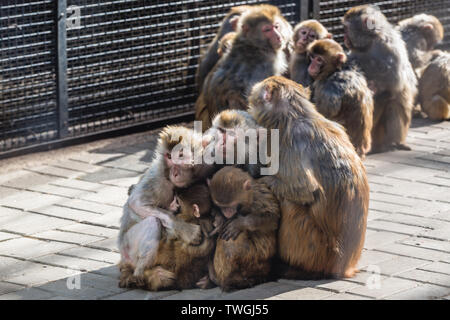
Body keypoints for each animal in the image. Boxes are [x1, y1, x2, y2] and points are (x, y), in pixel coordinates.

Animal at [118, 124, 216, 284]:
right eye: (169, 157)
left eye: (180, 155)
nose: (174, 173)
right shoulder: (159, 179)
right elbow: (136, 203)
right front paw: (185, 230)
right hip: (129, 248)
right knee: (152, 222)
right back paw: (143, 274)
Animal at [246, 76, 370, 278]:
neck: (295, 115)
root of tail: (345, 266)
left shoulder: (287, 143)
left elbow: (306, 189)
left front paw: (258, 179)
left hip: (316, 248)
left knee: (290, 205)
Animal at [344, 5, 418, 153]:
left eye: (347, 29)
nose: (344, 38)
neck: (372, 40)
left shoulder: (388, 48)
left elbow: (394, 84)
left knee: (392, 102)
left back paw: (393, 143)